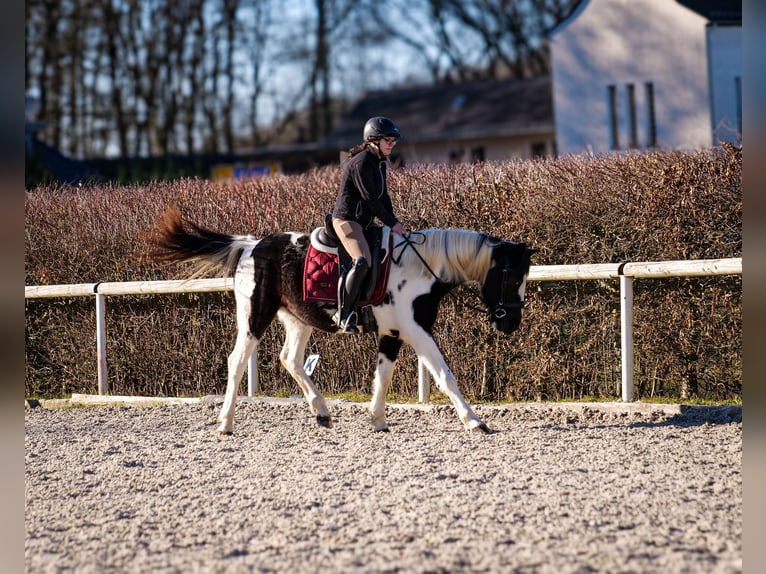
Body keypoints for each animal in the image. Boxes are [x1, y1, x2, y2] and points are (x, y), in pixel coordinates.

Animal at [153, 208, 536, 436]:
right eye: (512, 276)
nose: (511, 323)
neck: (421, 268)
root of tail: (251, 246)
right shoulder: (417, 331)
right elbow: (444, 375)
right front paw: (475, 421)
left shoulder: (392, 333)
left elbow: (383, 376)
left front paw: (378, 420)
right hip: (254, 316)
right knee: (237, 361)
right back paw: (226, 423)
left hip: (299, 320)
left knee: (291, 359)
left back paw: (321, 411)